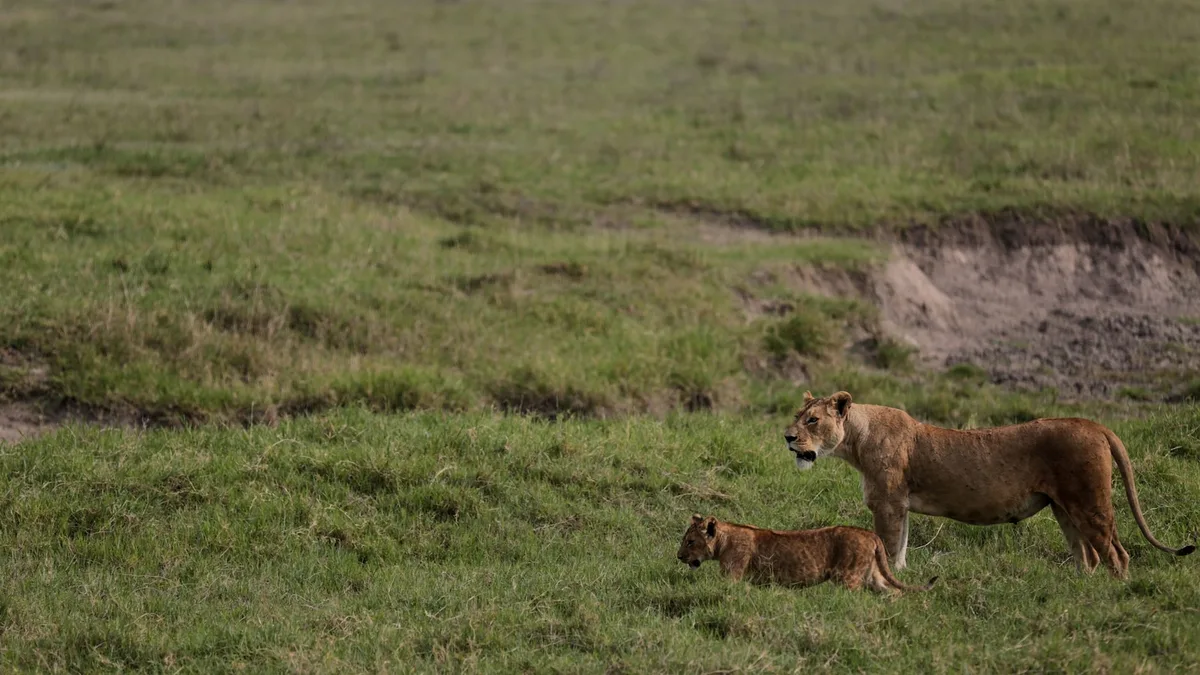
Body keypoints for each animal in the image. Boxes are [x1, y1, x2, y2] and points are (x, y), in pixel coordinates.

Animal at [676, 514, 937, 593]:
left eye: (690, 541)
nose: (678, 557)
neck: (725, 539)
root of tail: (870, 534)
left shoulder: (732, 575)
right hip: (873, 575)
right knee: (894, 592)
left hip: (848, 577)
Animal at [783, 390, 1196, 578]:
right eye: (797, 415)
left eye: (813, 420)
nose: (787, 437)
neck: (856, 439)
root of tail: (1094, 424)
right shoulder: (900, 505)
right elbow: (899, 546)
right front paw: (900, 576)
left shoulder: (887, 503)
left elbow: (886, 544)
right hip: (1064, 508)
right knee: (1088, 555)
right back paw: (1081, 589)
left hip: (1089, 502)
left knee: (1116, 554)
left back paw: (1112, 592)